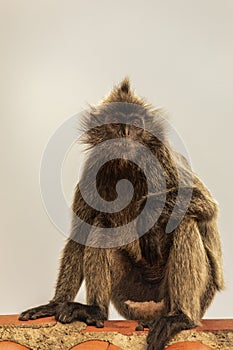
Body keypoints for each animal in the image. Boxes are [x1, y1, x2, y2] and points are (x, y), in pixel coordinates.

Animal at [19, 79, 224, 350]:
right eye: (116, 123)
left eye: (136, 123)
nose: (126, 132)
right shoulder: (93, 167)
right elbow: (80, 233)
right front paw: (54, 305)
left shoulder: (161, 157)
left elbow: (208, 207)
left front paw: (148, 218)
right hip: (128, 293)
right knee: (100, 223)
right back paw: (94, 310)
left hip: (196, 294)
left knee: (185, 222)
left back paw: (181, 317)